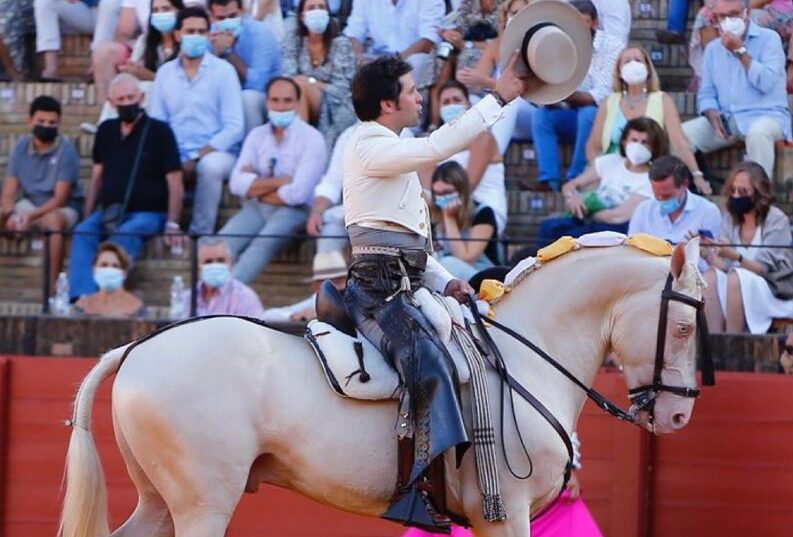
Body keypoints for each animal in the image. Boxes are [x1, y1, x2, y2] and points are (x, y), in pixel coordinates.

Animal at [59, 238, 707, 537]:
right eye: (682, 326)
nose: (678, 417)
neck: (524, 356)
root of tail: (136, 349)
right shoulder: (505, 513)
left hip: (160, 500)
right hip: (202, 503)